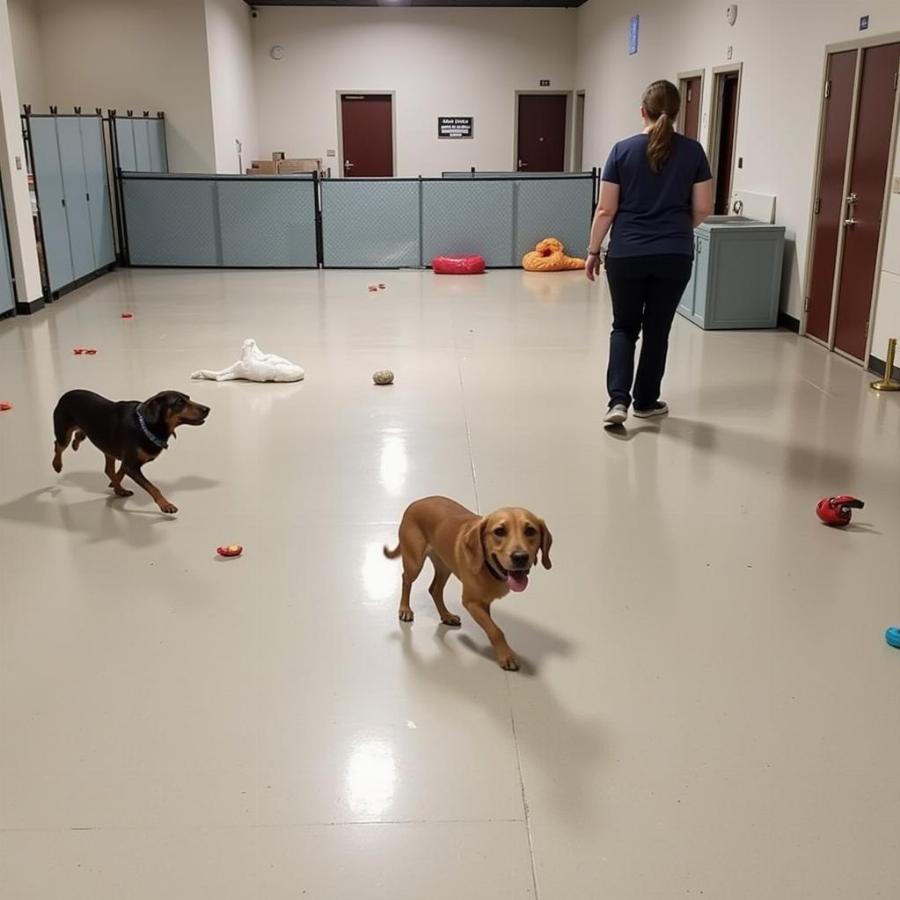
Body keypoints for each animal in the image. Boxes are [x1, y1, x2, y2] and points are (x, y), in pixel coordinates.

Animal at [54, 388, 211, 512]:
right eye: (179, 402)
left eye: (189, 398)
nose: (207, 409)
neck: (146, 425)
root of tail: (65, 395)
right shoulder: (131, 466)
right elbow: (153, 487)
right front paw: (166, 505)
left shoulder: (127, 462)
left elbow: (119, 472)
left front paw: (116, 487)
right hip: (63, 434)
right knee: (58, 446)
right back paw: (57, 465)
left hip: (105, 444)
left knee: (104, 465)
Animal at [380, 500, 548, 668]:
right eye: (499, 531)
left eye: (530, 531)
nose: (520, 557)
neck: (488, 567)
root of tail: (414, 504)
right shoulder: (471, 602)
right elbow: (496, 630)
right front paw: (506, 655)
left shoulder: (484, 602)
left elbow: (491, 625)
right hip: (414, 563)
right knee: (406, 580)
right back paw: (405, 609)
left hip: (444, 566)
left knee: (434, 589)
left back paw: (446, 616)